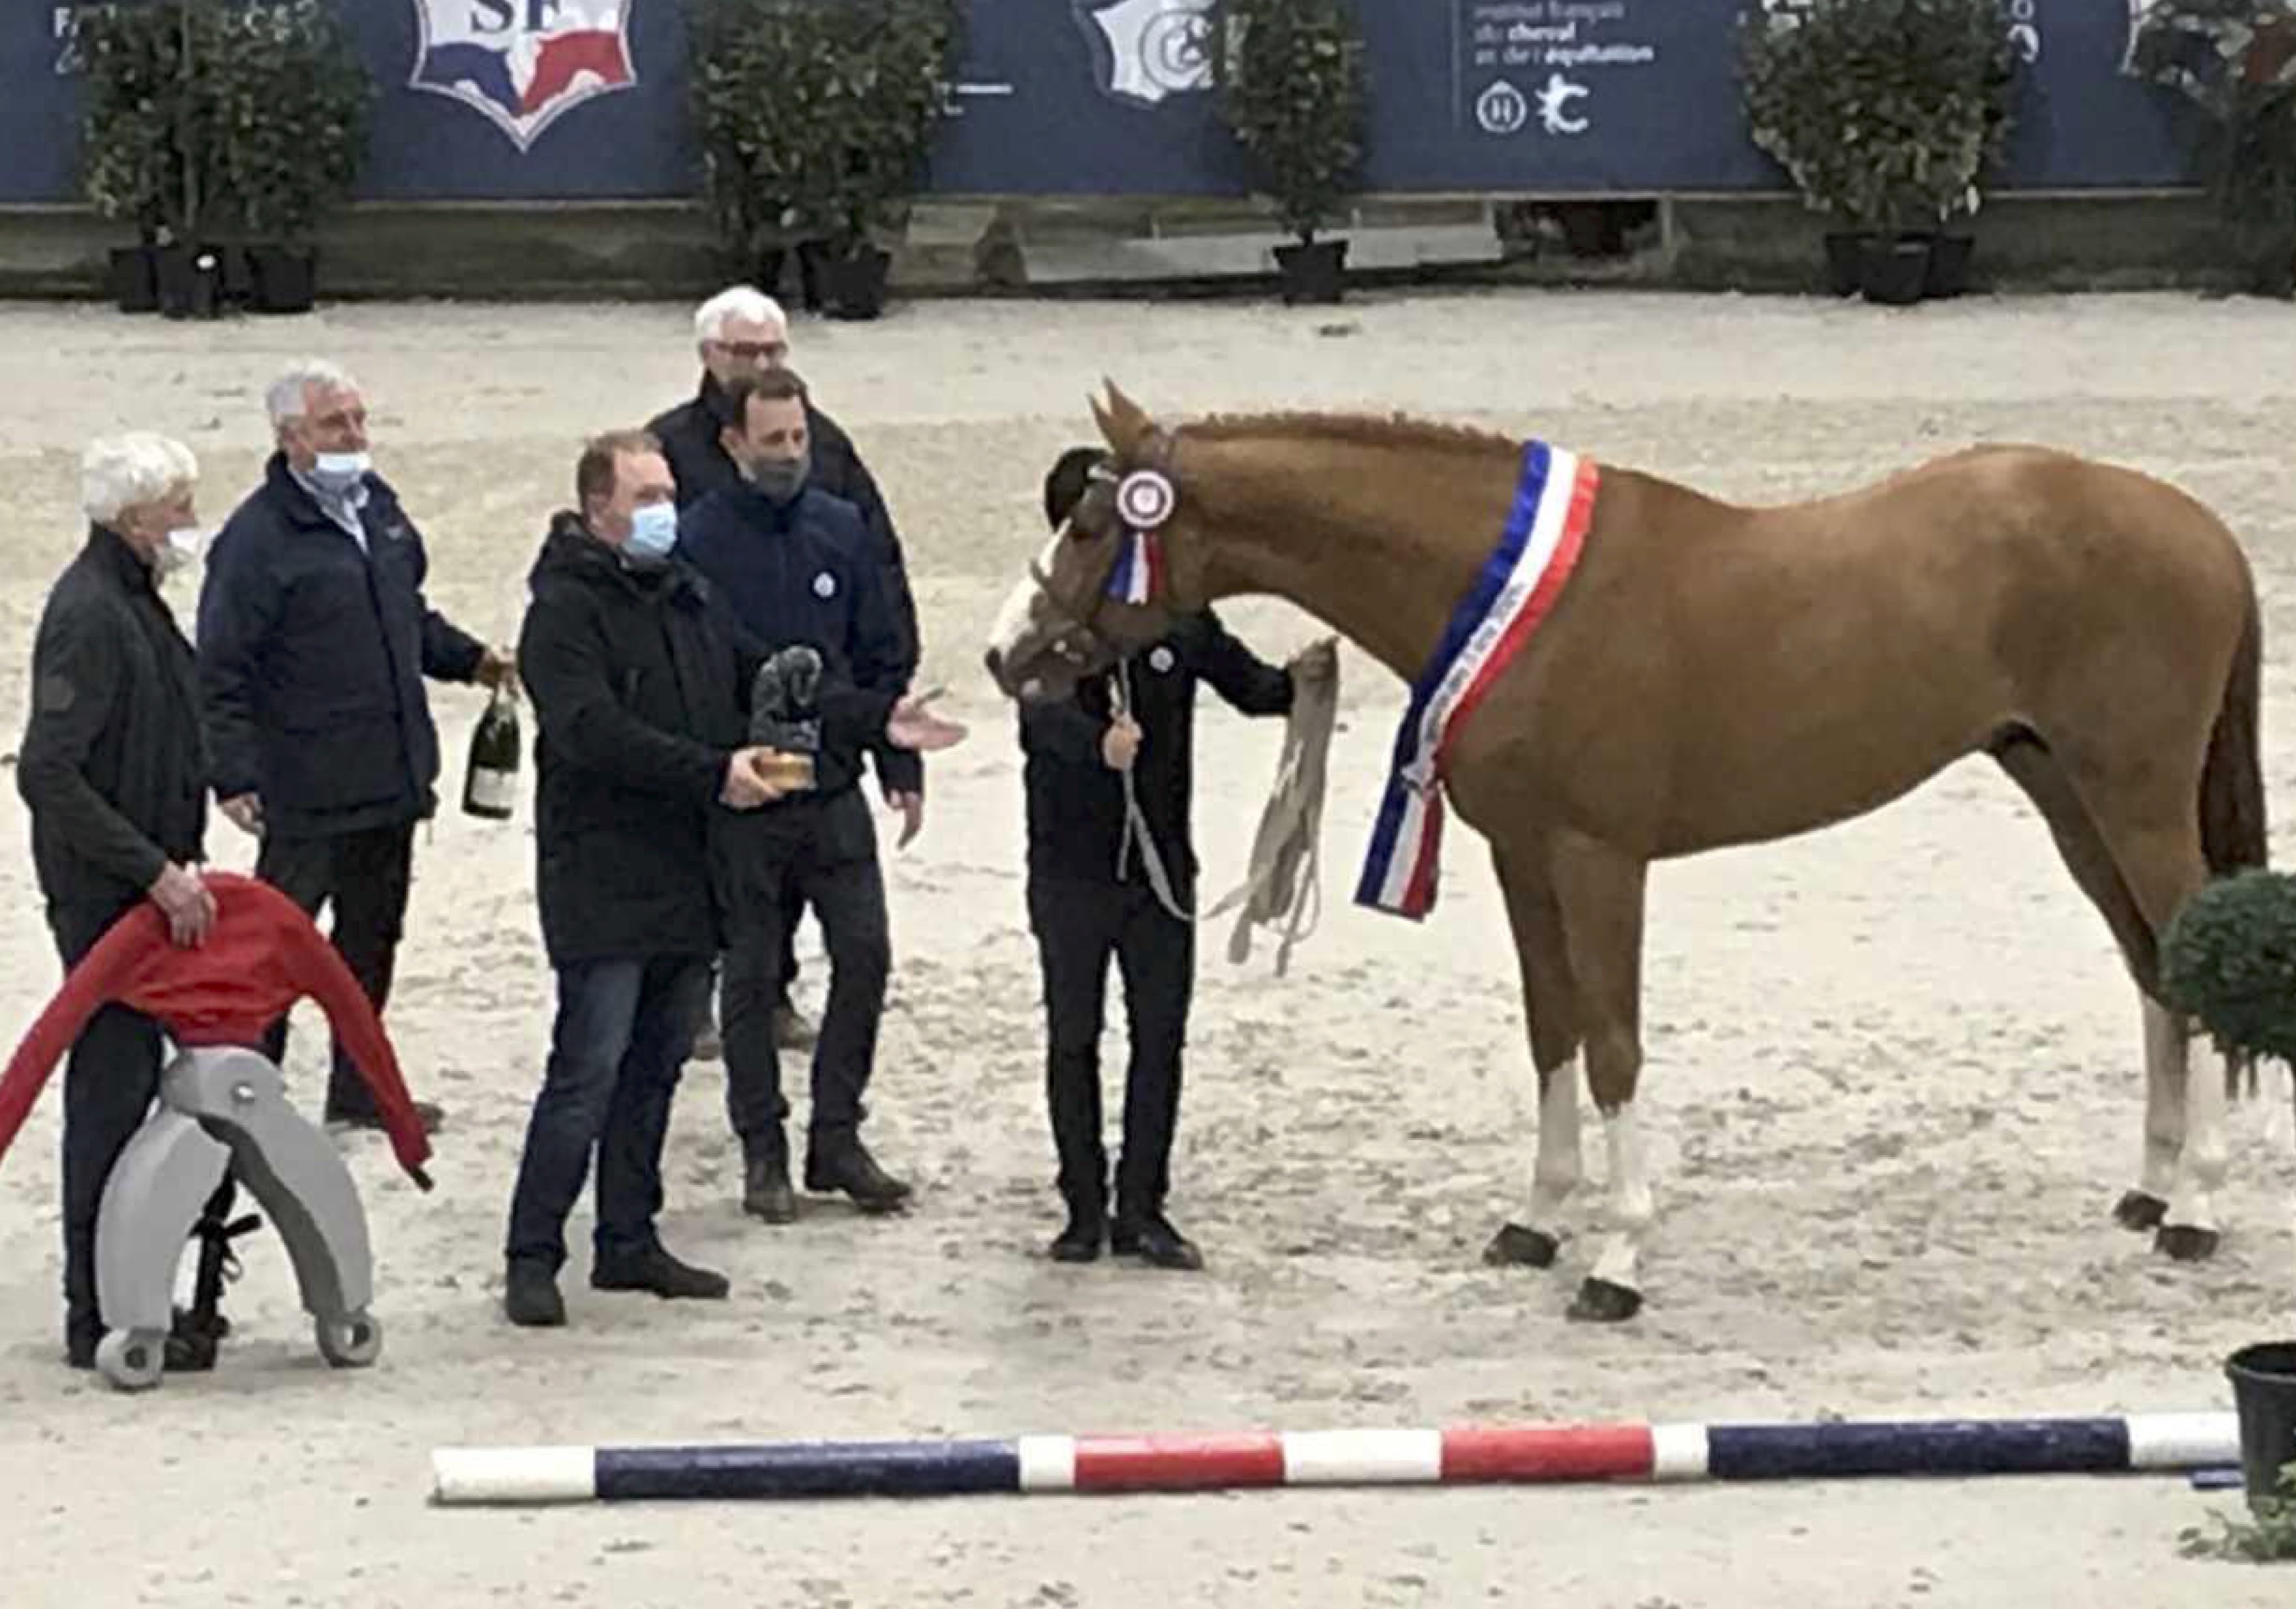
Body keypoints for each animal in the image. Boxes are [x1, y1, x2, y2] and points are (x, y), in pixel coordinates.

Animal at [982, 378, 2259, 1322]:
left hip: (2134, 801)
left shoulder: (1599, 860)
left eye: (1093, 523)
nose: (1007, 653)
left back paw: (2198, 1209)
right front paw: (1538, 1222)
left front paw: (1618, 1261)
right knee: (2152, 968)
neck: (1514, 598)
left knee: (2194, 954)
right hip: (2064, 794)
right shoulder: (1521, 858)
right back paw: (2149, 1194)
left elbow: (1610, 1047)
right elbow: (1550, 1030)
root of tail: (2200, 527)